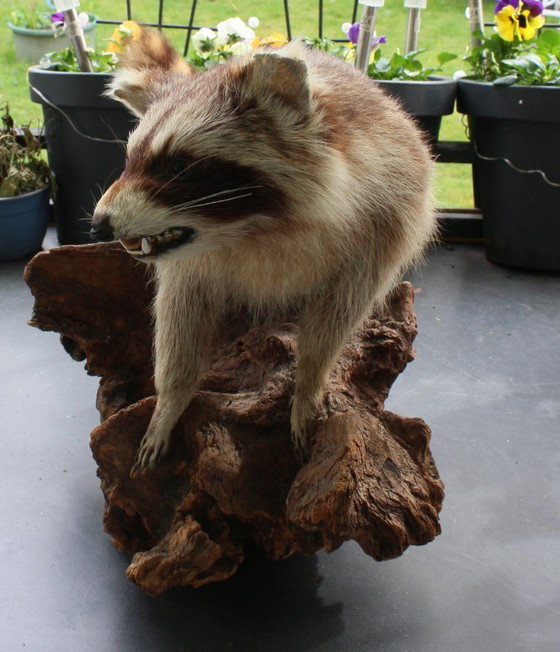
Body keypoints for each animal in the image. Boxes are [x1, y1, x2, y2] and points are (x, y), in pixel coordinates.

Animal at [91, 31, 436, 476]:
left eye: (176, 168)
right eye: (130, 160)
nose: (99, 224)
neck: (255, 230)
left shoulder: (381, 230)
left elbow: (336, 322)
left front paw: (308, 385)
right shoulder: (188, 266)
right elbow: (180, 321)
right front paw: (169, 401)